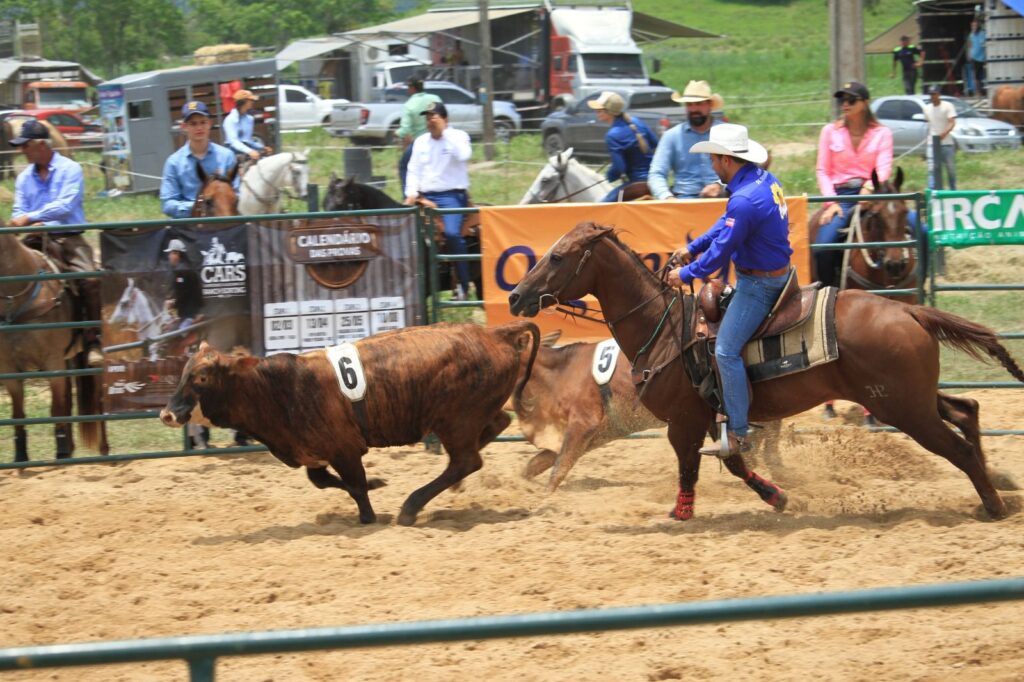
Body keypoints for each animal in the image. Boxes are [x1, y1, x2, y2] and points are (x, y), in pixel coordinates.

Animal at [0, 231, 108, 458]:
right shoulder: (8, 368)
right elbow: (18, 413)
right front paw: (21, 456)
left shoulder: (53, 362)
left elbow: (56, 408)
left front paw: (61, 450)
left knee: (98, 396)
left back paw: (104, 450)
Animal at [156, 319, 540, 524]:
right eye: (184, 373)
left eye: (201, 378)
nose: (166, 414)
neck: (277, 388)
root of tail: (495, 334)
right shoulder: (315, 454)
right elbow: (323, 482)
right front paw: (378, 483)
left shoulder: (345, 448)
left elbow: (354, 485)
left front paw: (368, 514)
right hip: (472, 414)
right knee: (494, 428)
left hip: (455, 419)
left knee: (466, 460)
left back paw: (411, 507)